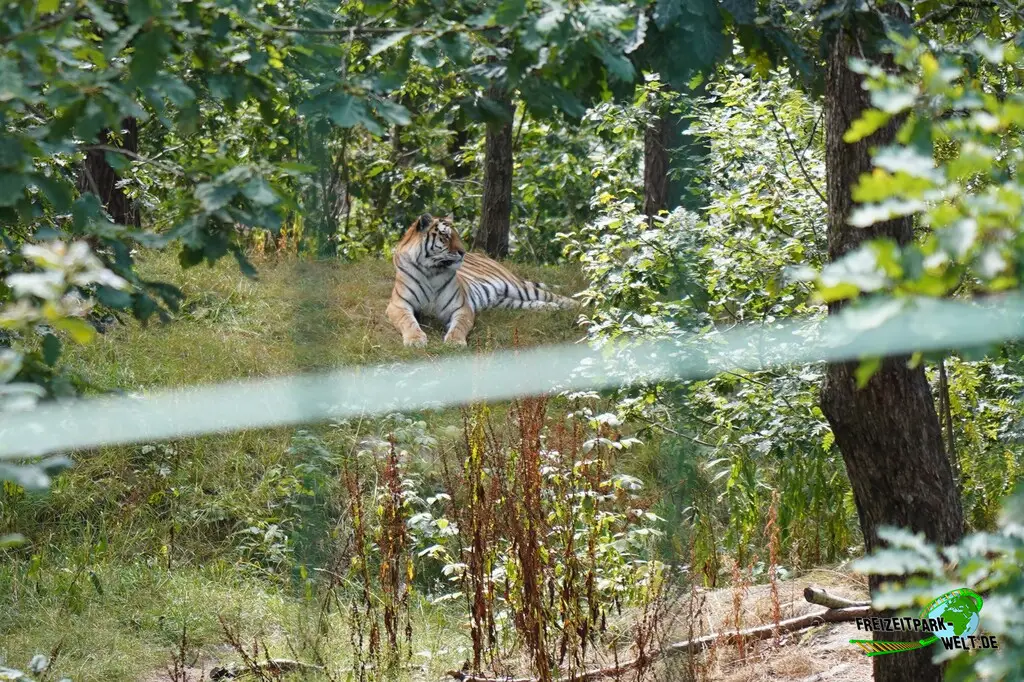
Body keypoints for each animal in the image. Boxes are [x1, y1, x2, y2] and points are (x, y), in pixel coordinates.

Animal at [386, 213, 578, 347]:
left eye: (458, 235)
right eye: (446, 236)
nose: (463, 252)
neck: (431, 271)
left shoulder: (462, 308)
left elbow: (459, 326)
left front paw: (455, 342)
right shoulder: (399, 305)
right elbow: (408, 322)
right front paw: (415, 339)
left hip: (517, 287)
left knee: (553, 296)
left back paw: (577, 305)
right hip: (504, 301)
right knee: (531, 303)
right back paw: (548, 308)